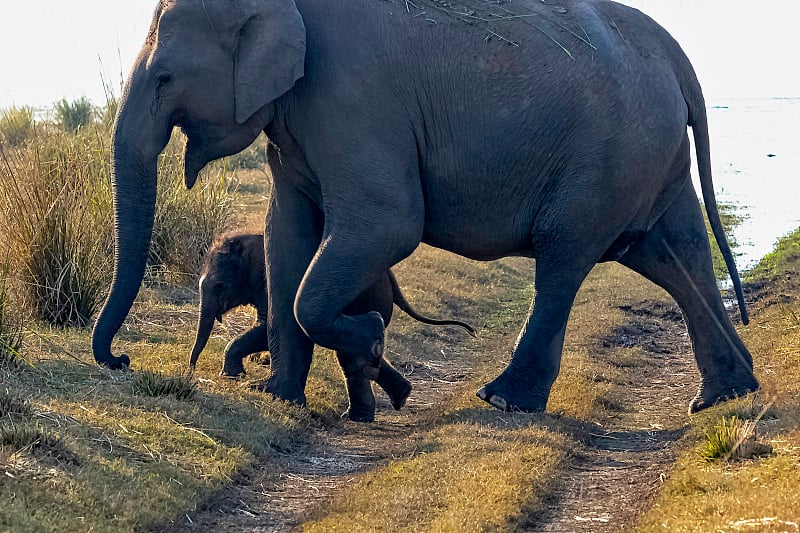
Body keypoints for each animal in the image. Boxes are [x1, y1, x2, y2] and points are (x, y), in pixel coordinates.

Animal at [189, 233, 476, 420]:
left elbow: (263, 328)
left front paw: (233, 377)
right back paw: (397, 397)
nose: (191, 370)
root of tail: (392, 280)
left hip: (365, 299)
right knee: (354, 353)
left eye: (219, 286)